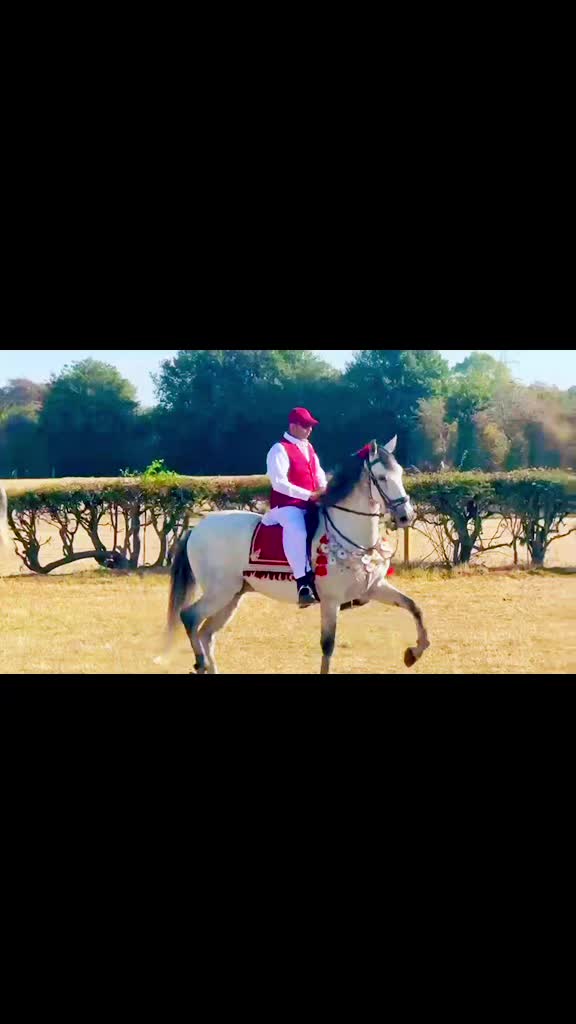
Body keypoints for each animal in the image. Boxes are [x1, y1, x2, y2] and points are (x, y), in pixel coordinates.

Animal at [163, 437, 430, 675]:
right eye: (382, 478)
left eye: (400, 473)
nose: (406, 516)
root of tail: (197, 529)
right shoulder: (331, 601)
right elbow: (328, 646)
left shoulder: (374, 588)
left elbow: (414, 606)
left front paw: (415, 652)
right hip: (221, 592)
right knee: (190, 617)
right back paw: (199, 663)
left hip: (232, 596)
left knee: (206, 633)